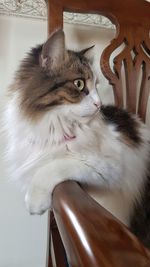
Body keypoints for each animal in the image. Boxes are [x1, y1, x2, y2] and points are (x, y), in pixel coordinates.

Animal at [4, 28, 150, 247]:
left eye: (96, 86)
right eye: (79, 84)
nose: (99, 104)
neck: (54, 124)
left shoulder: (106, 167)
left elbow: (53, 167)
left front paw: (35, 201)